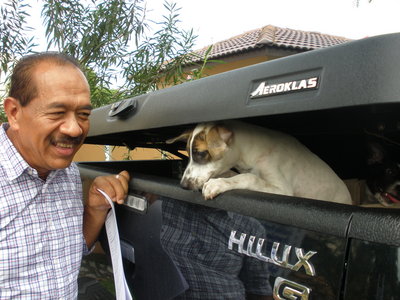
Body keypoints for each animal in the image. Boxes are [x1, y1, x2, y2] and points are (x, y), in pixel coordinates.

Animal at [167, 120, 352, 205]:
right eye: (188, 154)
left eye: (201, 153)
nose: (183, 185)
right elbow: (234, 174)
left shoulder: (282, 190)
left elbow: (249, 177)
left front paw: (217, 184)